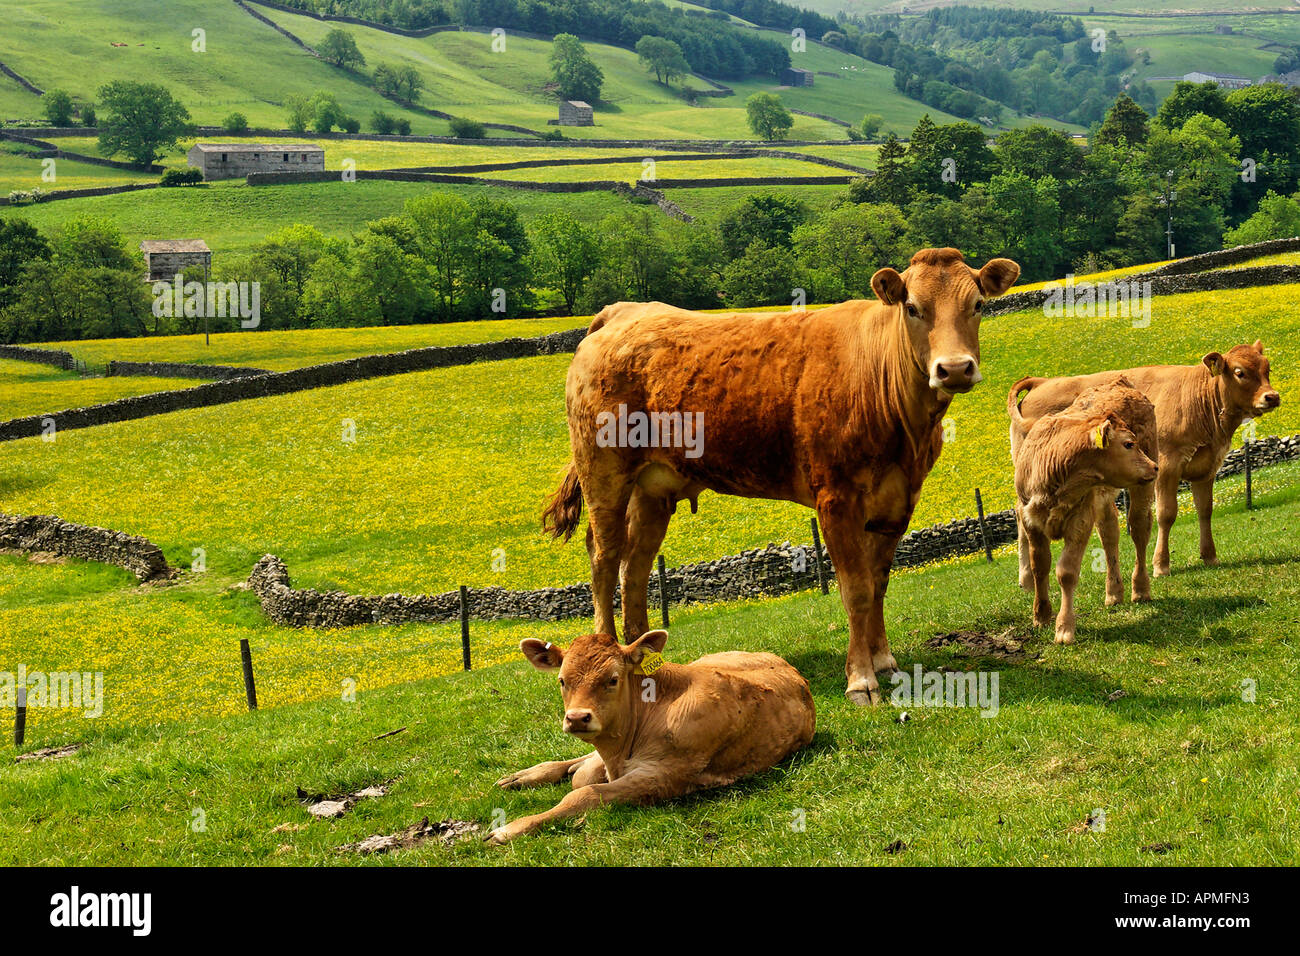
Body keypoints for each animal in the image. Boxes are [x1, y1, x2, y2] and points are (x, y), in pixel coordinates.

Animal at [488, 629, 811, 842]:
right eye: (562, 681)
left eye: (613, 679)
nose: (577, 717)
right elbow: (584, 776)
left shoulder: (664, 775)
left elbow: (583, 792)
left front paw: (509, 829)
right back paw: (523, 775)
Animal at [543, 251, 1019, 707]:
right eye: (913, 308)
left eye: (978, 305)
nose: (954, 368)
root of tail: (622, 312)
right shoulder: (836, 499)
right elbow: (856, 589)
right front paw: (861, 680)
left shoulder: (898, 501)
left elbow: (879, 583)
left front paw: (885, 661)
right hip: (604, 471)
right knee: (604, 556)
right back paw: (607, 650)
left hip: (653, 489)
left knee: (635, 566)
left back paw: (644, 658)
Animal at [1003, 377, 1159, 647]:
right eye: (1128, 444)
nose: (1154, 466)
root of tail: (1119, 382)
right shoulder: (1031, 521)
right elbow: (1039, 566)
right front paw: (1041, 616)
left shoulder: (1081, 519)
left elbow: (1066, 572)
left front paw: (1064, 629)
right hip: (1104, 501)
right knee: (1109, 534)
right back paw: (1113, 592)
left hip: (1142, 489)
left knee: (1139, 529)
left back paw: (1139, 589)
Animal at [1008, 345, 1274, 582]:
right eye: (1240, 372)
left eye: (1267, 368)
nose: (1272, 397)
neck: (1198, 396)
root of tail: (1040, 381)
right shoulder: (1166, 466)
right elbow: (1166, 514)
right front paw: (1161, 565)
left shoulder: (1206, 468)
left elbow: (1205, 510)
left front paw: (1209, 556)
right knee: (1022, 515)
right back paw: (1027, 577)